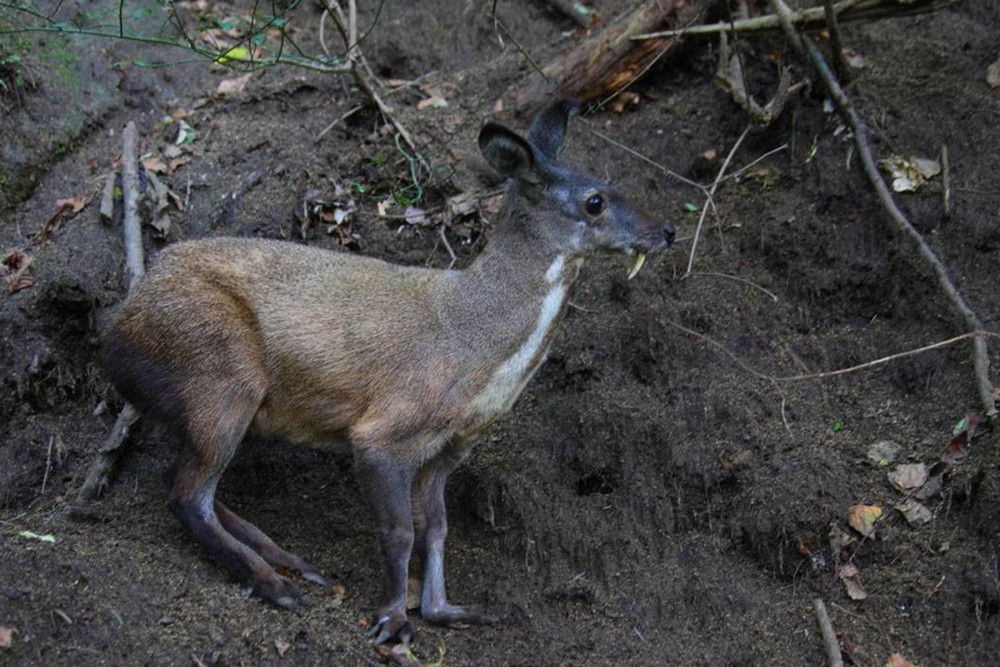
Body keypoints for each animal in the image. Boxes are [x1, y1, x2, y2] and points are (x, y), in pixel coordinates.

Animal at [101, 100, 676, 648]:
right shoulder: (386, 429)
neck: (474, 348)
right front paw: (392, 620)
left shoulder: (448, 449)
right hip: (222, 372)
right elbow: (399, 531)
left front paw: (446, 610)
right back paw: (275, 584)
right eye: (595, 201)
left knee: (186, 481)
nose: (667, 229)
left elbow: (437, 529)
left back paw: (289, 561)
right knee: (187, 495)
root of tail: (117, 325)